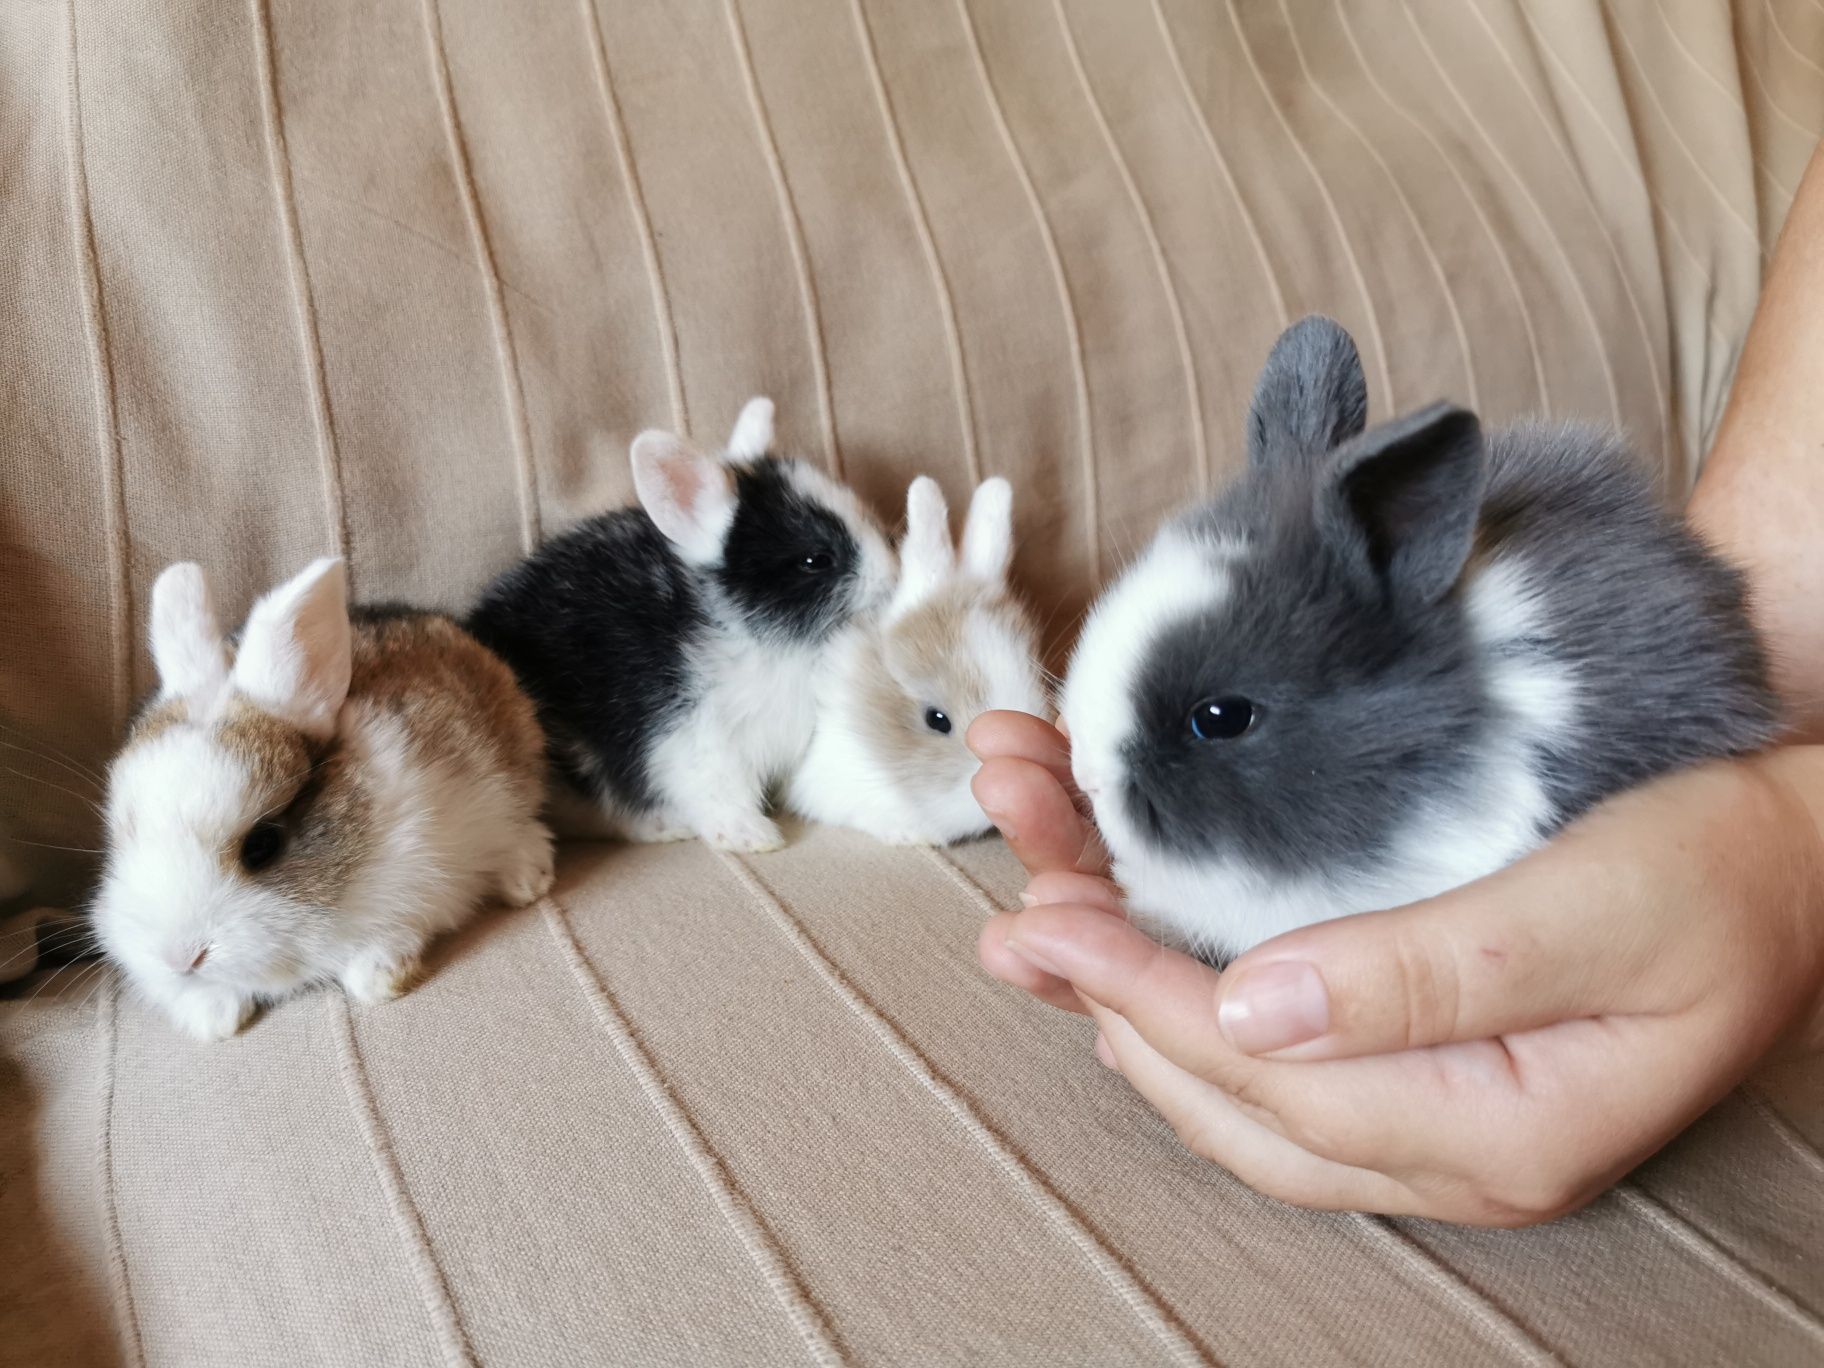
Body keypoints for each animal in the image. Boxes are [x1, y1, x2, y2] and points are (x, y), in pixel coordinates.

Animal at [96, 558, 550, 1036]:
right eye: (123, 836)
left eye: (262, 845)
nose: (181, 957)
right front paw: (215, 1018)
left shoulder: (426, 880)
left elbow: (388, 943)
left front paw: (380, 978)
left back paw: (525, 881)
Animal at [470, 395, 890, 853]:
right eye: (816, 560)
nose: (892, 578)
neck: (742, 630)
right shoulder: (689, 736)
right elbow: (720, 791)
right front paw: (752, 837)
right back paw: (665, 825)